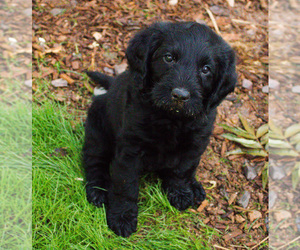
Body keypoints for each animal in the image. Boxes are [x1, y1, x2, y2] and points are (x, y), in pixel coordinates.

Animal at [82, 21, 237, 236]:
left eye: (206, 69)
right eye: (169, 58)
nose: (180, 95)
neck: (171, 118)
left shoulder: (195, 144)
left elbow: (182, 171)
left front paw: (180, 193)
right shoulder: (130, 150)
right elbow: (125, 185)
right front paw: (122, 216)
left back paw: (194, 187)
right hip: (98, 132)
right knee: (94, 162)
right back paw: (98, 190)